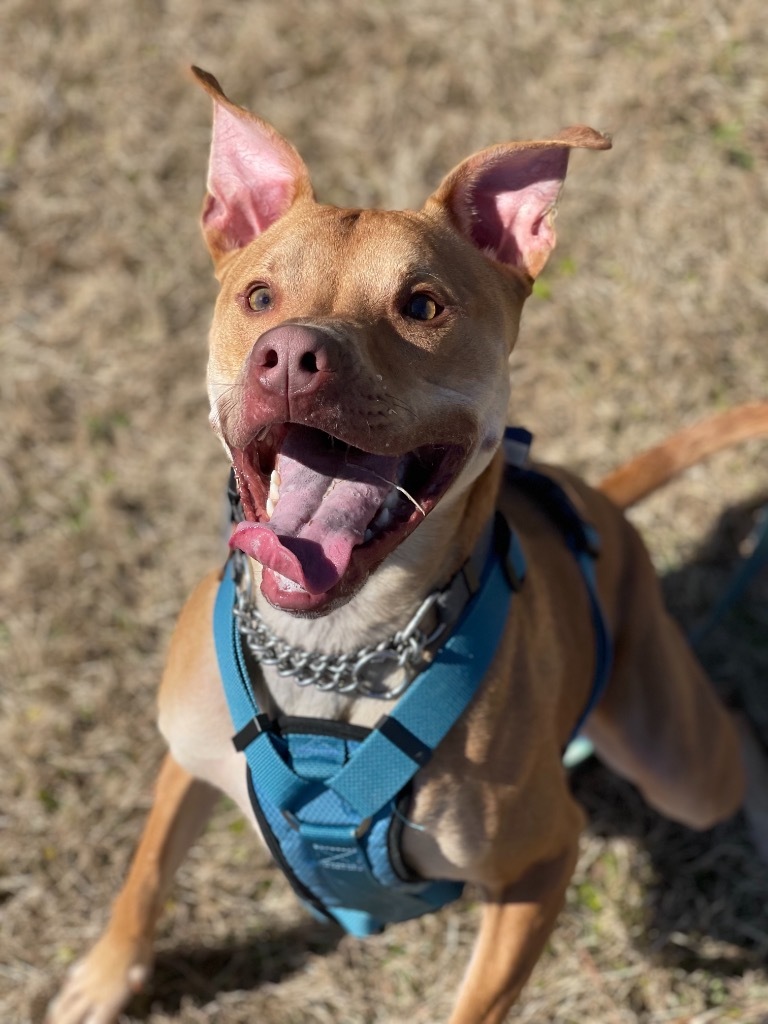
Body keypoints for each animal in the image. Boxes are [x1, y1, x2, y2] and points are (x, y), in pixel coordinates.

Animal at [46, 72, 768, 1024]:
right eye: (258, 298)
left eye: (422, 306)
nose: (291, 356)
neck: (333, 653)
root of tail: (603, 505)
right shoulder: (184, 757)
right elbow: (145, 869)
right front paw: (107, 973)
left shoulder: (542, 860)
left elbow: (477, 1004)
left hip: (677, 763)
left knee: (732, 742)